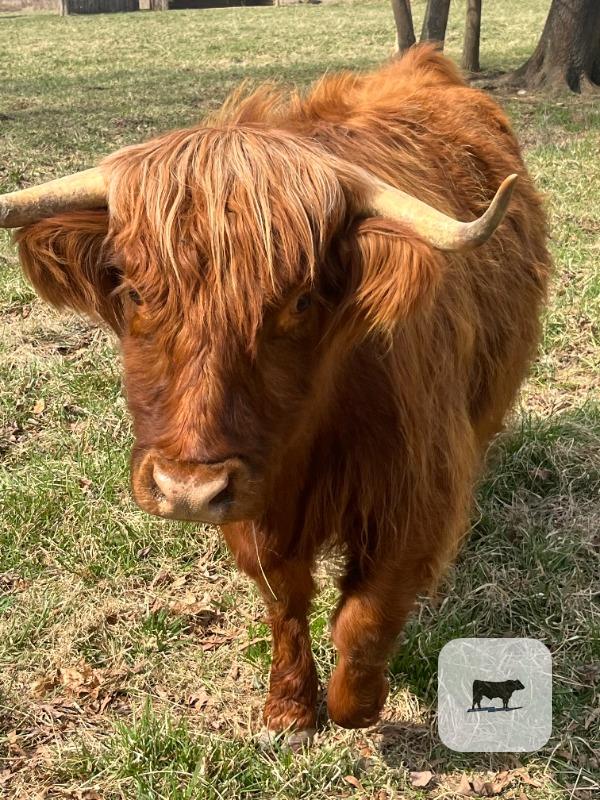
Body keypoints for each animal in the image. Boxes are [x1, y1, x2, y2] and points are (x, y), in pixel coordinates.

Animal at [0, 46, 550, 743]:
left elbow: (365, 613)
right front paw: (289, 708)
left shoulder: (415, 494)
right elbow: (284, 596)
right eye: (132, 288)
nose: (187, 490)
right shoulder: (252, 502)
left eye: (300, 300)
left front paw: (354, 707)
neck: (312, 440)